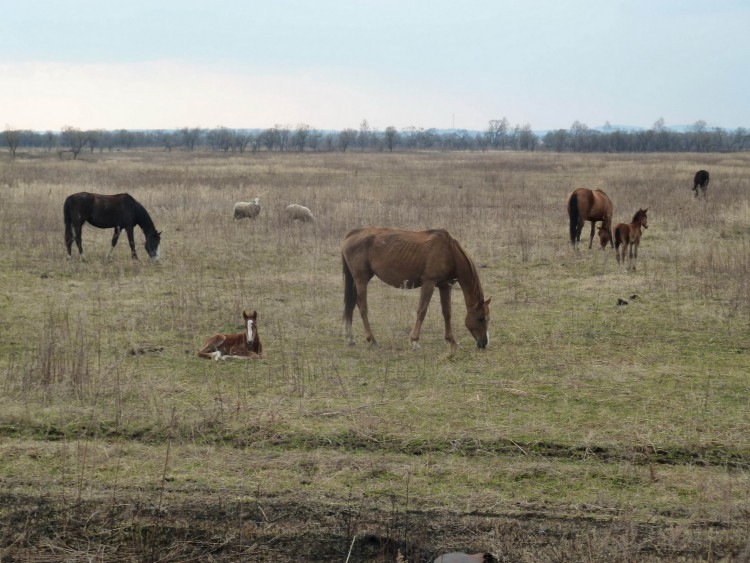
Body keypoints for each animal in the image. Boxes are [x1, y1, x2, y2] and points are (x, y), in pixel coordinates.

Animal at [342, 226, 494, 350]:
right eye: (480, 318)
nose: (484, 343)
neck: (449, 252)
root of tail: (352, 234)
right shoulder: (429, 283)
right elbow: (422, 311)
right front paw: (414, 340)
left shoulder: (445, 286)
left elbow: (447, 313)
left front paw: (451, 341)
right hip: (361, 280)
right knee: (362, 307)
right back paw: (371, 339)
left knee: (352, 305)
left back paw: (350, 337)